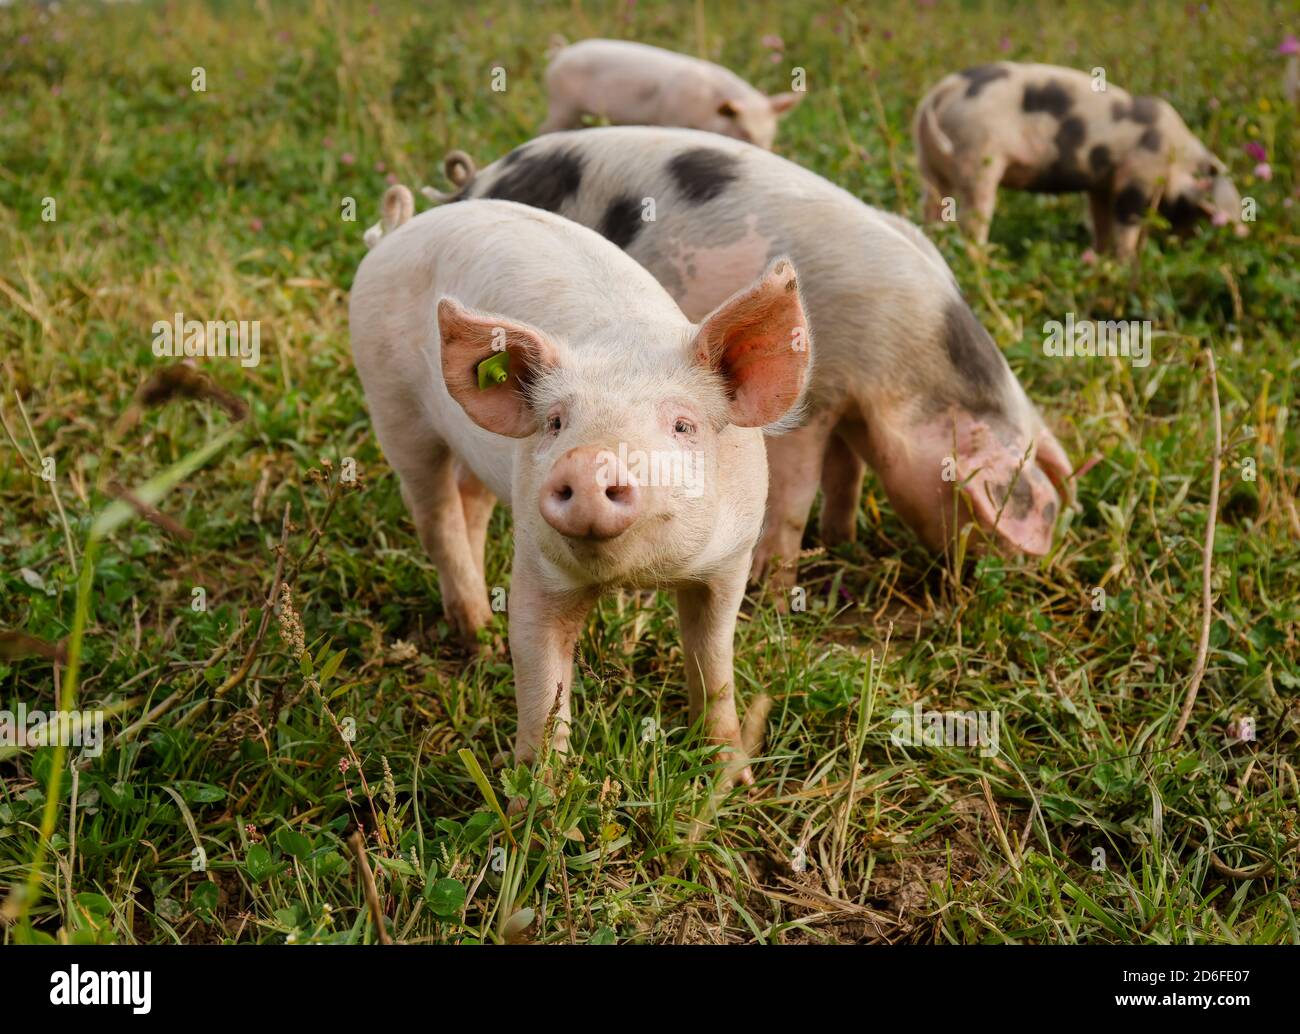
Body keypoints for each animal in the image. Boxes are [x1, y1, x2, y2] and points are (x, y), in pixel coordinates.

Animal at [351, 196, 806, 785]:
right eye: (556, 423)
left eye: (683, 425)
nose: (590, 460)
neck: (633, 576)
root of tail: (396, 232)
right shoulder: (537, 561)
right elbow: (539, 681)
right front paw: (535, 797)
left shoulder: (732, 558)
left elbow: (713, 661)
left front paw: (732, 779)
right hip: (393, 406)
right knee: (436, 514)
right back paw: (479, 636)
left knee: (470, 502)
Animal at [421, 125, 1071, 585]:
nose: (1015, 574)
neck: (907, 367)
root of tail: (472, 184)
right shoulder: (813, 404)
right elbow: (797, 493)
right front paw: (775, 587)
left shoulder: (850, 407)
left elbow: (847, 474)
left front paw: (840, 539)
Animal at [909, 62, 1242, 256]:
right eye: (1201, 210)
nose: (1186, 246)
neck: (1176, 158)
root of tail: (940, 91)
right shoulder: (1136, 175)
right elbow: (1126, 222)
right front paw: (1127, 263)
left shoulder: (1101, 183)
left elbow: (1101, 220)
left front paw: (1100, 260)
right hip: (978, 155)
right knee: (973, 217)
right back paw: (983, 257)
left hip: (928, 162)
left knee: (933, 206)